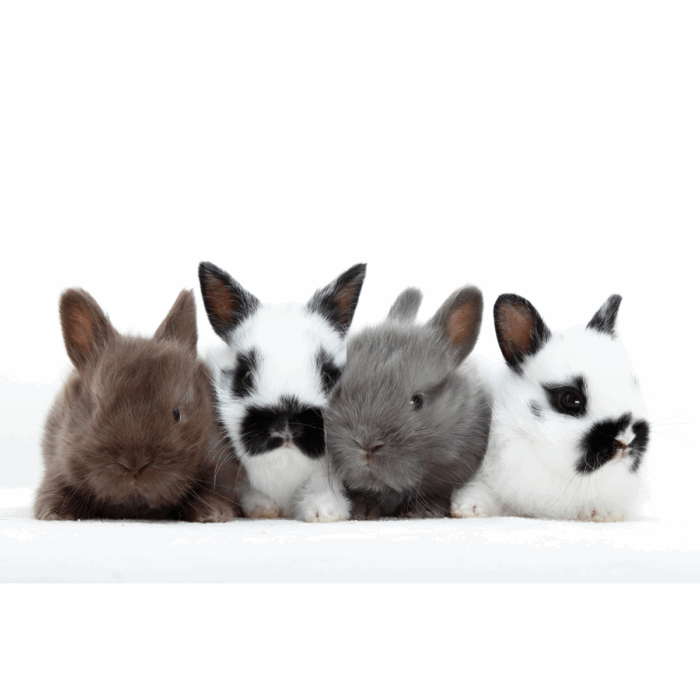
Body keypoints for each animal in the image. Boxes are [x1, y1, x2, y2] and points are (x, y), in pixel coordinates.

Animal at [34, 288, 241, 522]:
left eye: (176, 414)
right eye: (96, 411)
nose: (135, 465)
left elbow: (214, 490)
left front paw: (213, 513)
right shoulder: (57, 465)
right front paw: (53, 513)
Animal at [198, 261, 367, 522]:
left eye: (328, 377)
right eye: (245, 376)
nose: (286, 425)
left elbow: (322, 486)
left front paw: (325, 512)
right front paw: (262, 509)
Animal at [451, 293, 651, 522]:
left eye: (634, 385)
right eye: (571, 400)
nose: (626, 439)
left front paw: (603, 513)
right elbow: (479, 490)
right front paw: (469, 509)